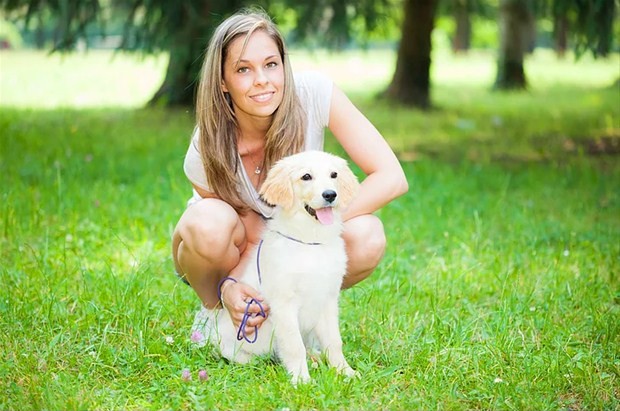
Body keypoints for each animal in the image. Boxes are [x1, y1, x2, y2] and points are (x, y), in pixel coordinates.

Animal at [192, 150, 360, 384]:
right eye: (306, 176)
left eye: (334, 175)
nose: (330, 194)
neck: (310, 240)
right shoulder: (284, 304)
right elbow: (294, 345)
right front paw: (302, 380)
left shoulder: (327, 299)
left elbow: (334, 341)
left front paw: (345, 372)